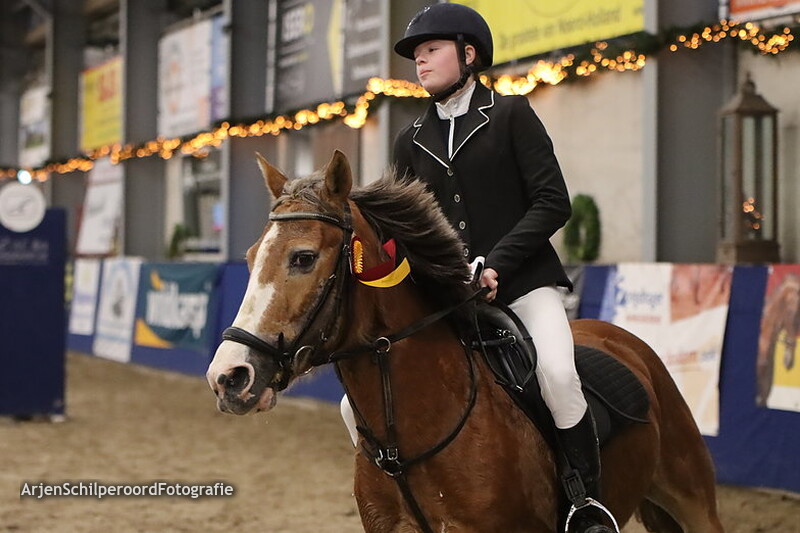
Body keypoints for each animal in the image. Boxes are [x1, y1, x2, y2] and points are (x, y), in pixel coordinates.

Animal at [207, 150, 724, 533]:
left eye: (303, 257)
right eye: (250, 258)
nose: (229, 377)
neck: (414, 437)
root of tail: (623, 338)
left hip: (694, 500)